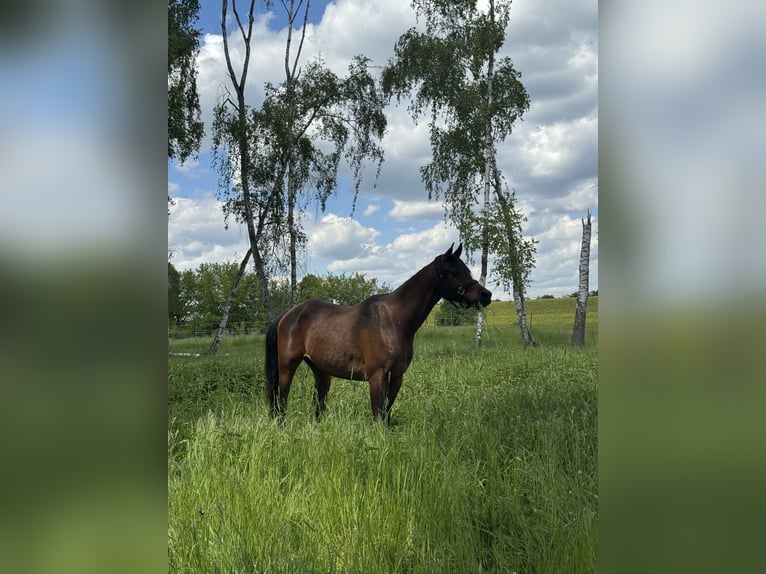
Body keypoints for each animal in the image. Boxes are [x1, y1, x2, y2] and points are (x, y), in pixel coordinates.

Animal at [264, 243, 492, 423]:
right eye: (454, 271)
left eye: (467, 270)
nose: (486, 294)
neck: (393, 321)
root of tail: (289, 314)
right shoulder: (376, 377)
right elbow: (378, 415)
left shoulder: (397, 376)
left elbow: (387, 413)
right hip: (287, 367)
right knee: (281, 402)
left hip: (321, 371)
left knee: (318, 405)